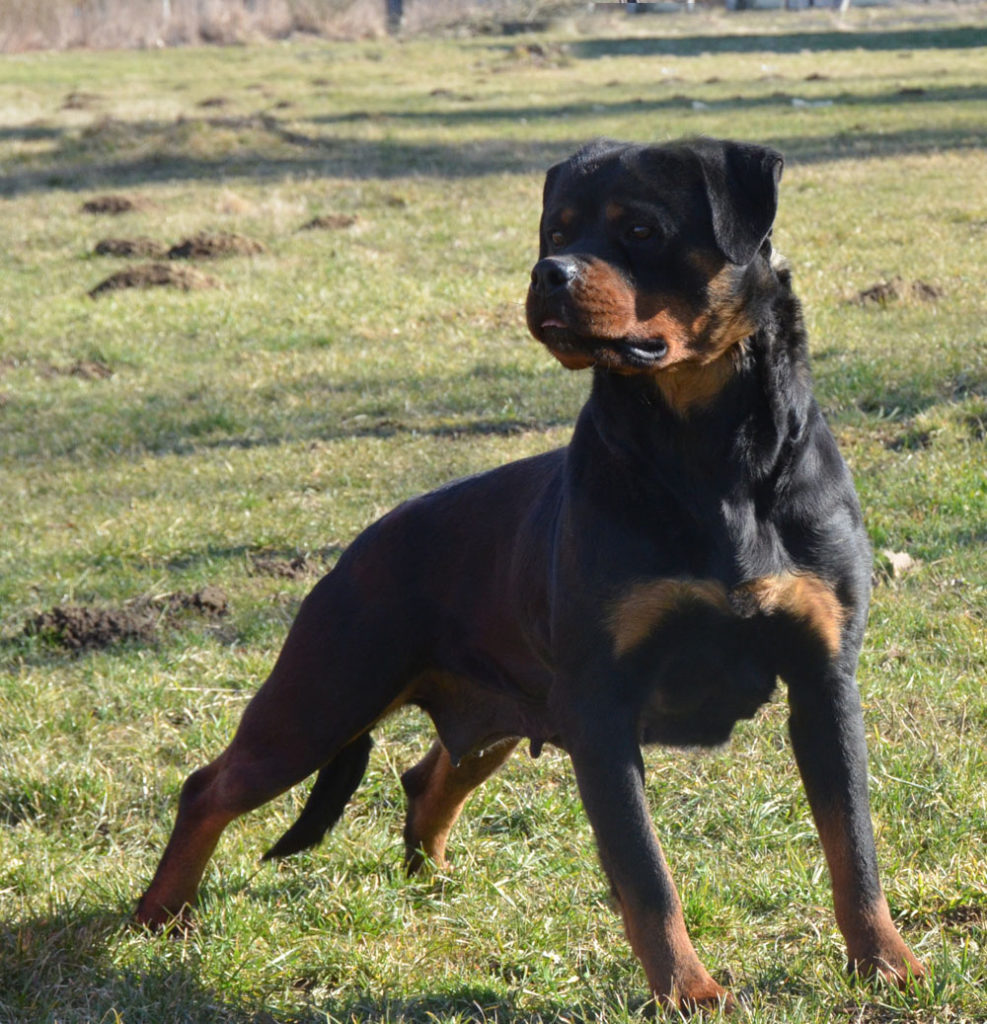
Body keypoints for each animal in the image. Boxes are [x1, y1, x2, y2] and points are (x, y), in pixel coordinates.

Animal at [139, 140, 925, 1011]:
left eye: (640, 228)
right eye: (556, 230)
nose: (549, 273)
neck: (708, 454)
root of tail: (361, 545)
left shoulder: (823, 679)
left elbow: (852, 844)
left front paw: (885, 964)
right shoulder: (600, 707)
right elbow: (645, 875)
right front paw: (688, 992)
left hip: (492, 711)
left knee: (427, 773)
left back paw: (429, 878)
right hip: (321, 698)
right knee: (209, 786)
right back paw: (159, 915)